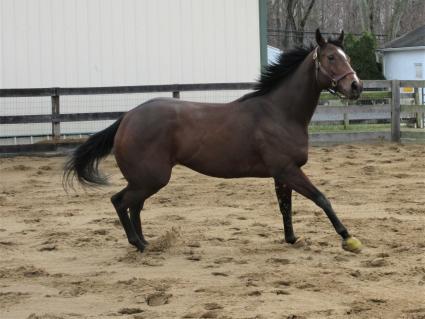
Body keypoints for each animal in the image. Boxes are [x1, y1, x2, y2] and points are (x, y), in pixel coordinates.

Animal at [64, 30, 362, 255]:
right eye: (331, 57)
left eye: (347, 57)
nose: (356, 87)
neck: (279, 112)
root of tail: (128, 117)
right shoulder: (288, 170)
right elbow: (322, 199)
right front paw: (348, 238)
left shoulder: (282, 174)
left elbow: (285, 207)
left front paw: (292, 238)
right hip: (151, 178)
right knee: (119, 201)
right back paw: (138, 243)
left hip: (145, 180)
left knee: (133, 205)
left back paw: (147, 242)